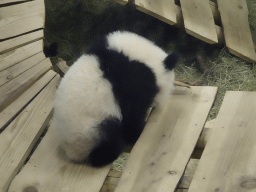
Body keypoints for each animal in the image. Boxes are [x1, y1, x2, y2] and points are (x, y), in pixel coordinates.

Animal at [51, 30, 178, 167]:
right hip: (90, 130)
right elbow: (132, 114)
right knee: (110, 134)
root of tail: (72, 153)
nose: (159, 102)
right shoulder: (133, 82)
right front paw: (139, 129)